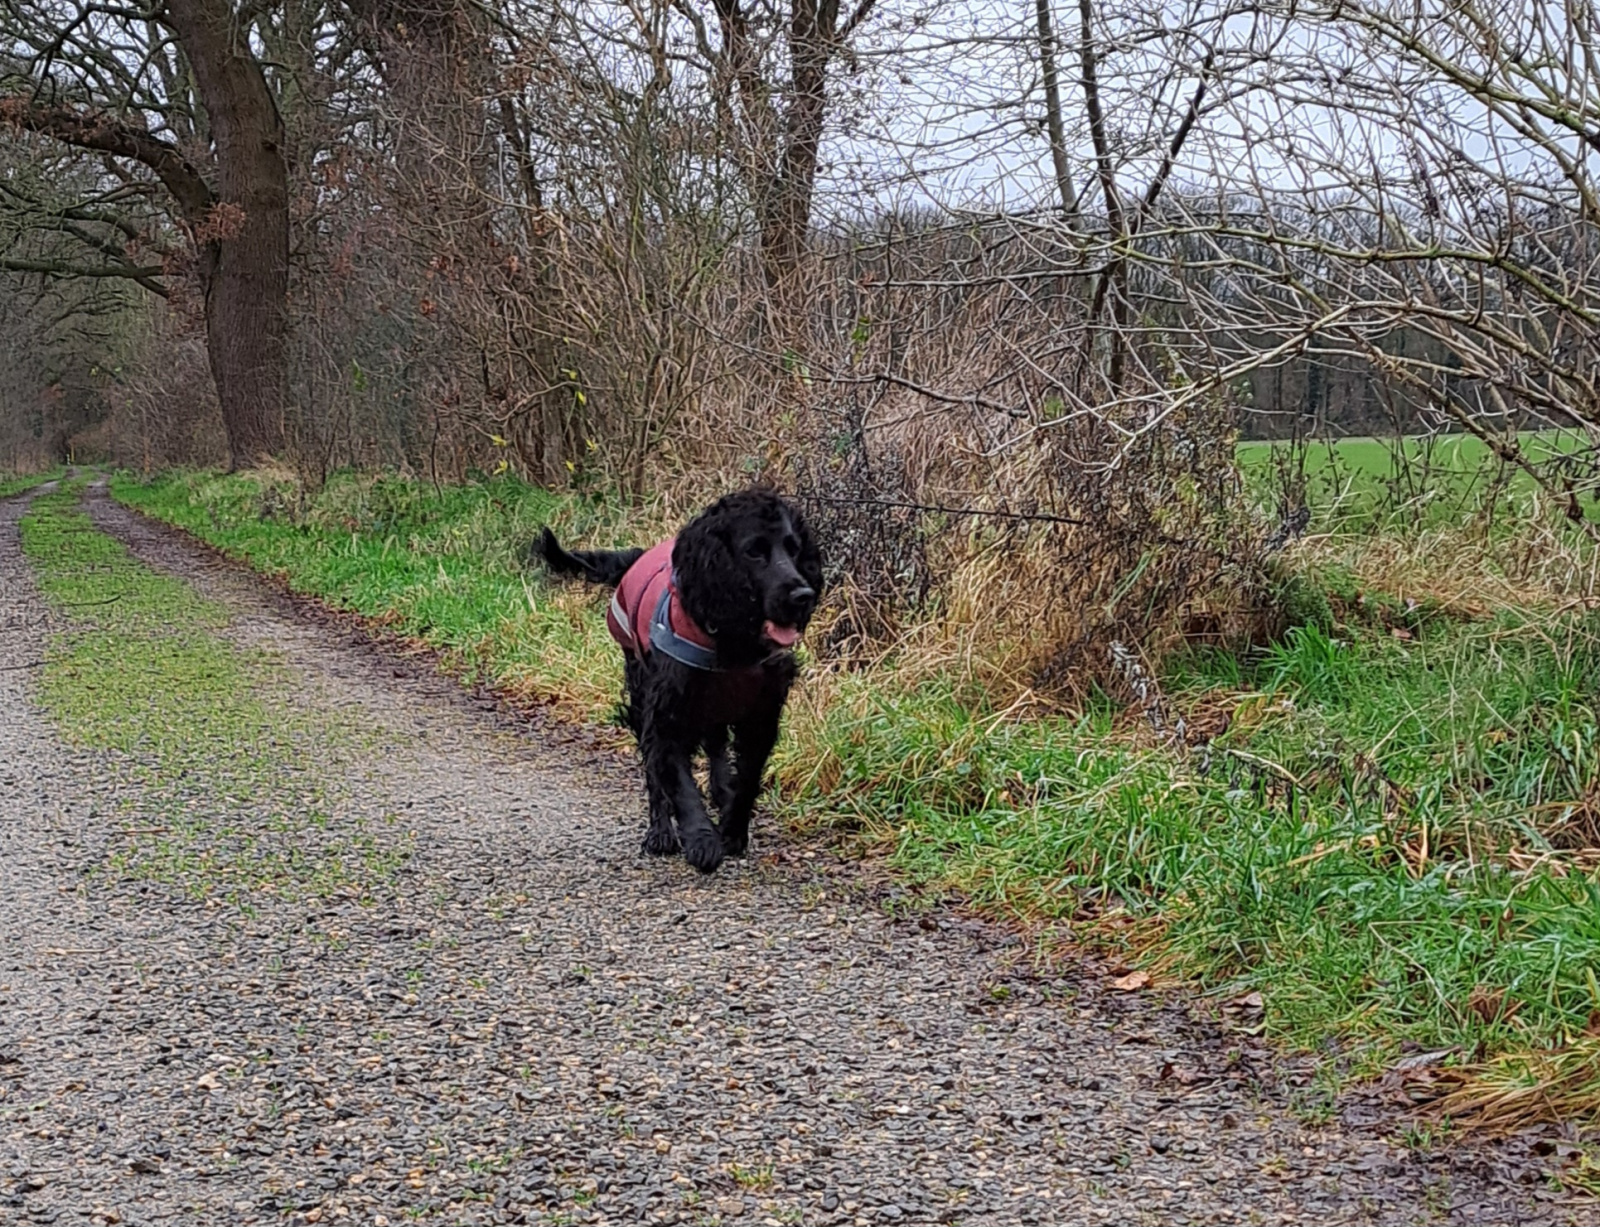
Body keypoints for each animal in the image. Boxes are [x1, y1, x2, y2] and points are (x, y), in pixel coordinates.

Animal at [536, 488, 822, 873]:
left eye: (793, 549)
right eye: (754, 551)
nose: (803, 596)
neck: (731, 639)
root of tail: (638, 556)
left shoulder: (761, 714)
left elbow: (747, 777)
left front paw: (732, 831)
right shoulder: (665, 713)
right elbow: (678, 783)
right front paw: (702, 840)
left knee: (715, 745)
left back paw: (720, 790)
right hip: (641, 690)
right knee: (654, 771)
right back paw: (660, 832)